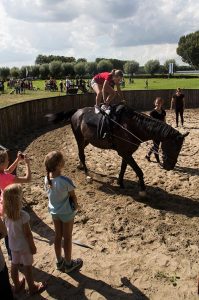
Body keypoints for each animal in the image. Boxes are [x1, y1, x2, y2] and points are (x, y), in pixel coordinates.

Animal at [49, 104, 189, 196]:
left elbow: (123, 168)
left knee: (80, 152)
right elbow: (138, 170)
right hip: (79, 138)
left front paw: (120, 182)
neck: (131, 127)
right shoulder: (125, 153)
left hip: (86, 140)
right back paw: (87, 172)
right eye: (173, 146)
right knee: (82, 154)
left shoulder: (126, 153)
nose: (170, 166)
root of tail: (77, 111)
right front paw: (142, 189)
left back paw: (80, 166)